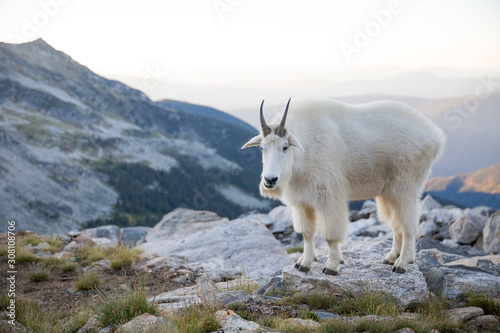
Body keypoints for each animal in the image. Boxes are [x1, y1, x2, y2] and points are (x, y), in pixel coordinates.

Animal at [242, 97, 446, 274]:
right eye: (262, 148)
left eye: (285, 147)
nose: (270, 180)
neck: (304, 151)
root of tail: (435, 136)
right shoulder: (302, 202)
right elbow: (307, 233)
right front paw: (305, 263)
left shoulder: (329, 196)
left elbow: (331, 235)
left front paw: (332, 265)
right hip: (389, 192)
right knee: (397, 224)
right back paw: (390, 257)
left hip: (406, 186)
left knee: (408, 224)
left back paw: (402, 263)